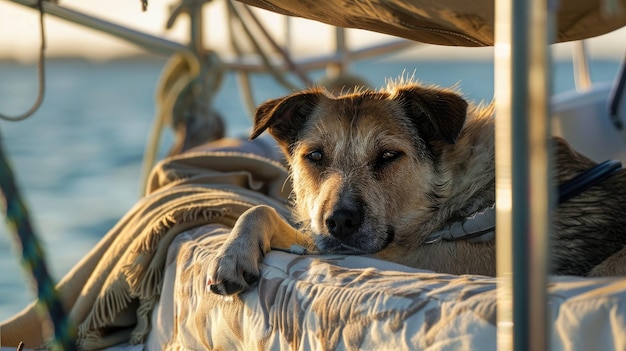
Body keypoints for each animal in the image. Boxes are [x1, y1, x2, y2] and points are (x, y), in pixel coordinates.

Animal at [205, 82, 624, 296]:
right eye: (316, 156)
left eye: (389, 155)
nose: (339, 222)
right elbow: (260, 209)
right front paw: (231, 256)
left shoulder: (411, 259)